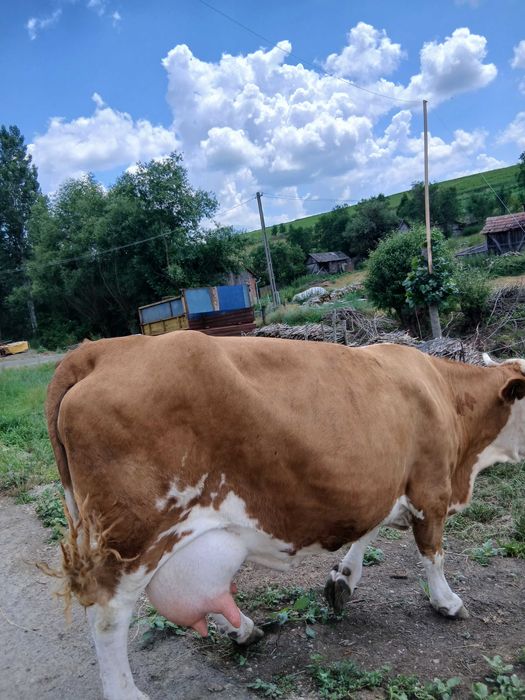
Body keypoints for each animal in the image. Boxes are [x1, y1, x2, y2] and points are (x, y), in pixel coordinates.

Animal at [45, 331, 525, 700]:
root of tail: (100, 350)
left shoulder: (381, 485)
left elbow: (367, 531)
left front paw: (342, 580)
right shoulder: (431, 487)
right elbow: (432, 552)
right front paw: (447, 601)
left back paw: (243, 629)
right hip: (131, 538)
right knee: (108, 615)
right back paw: (127, 691)